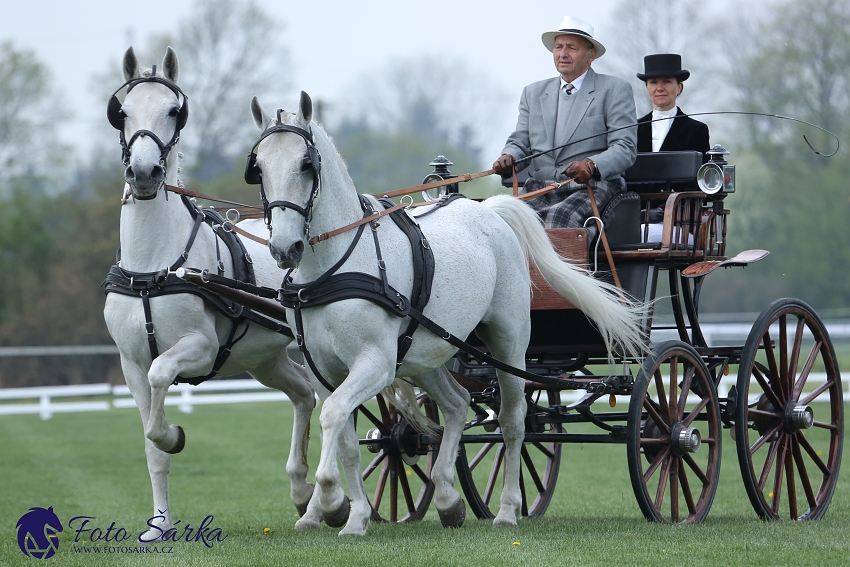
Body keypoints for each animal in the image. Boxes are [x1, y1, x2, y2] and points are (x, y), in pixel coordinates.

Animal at [104, 47, 316, 536]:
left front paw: (174, 434)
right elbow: (151, 445)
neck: (153, 269)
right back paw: (301, 490)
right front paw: (160, 524)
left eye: (173, 111)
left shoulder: (199, 348)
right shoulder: (130, 365)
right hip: (264, 358)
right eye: (122, 112)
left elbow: (163, 376)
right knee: (304, 394)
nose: (144, 172)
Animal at [248, 91, 644, 536]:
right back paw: (447, 498)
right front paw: (352, 514)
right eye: (258, 167)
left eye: (306, 164)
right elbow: (346, 436)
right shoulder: (324, 371)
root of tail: (489, 210)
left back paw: (507, 509)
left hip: (508, 342)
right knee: (456, 404)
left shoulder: (376, 363)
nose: (285, 249)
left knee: (513, 422)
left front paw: (332, 500)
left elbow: (333, 416)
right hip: (427, 353)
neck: (335, 267)